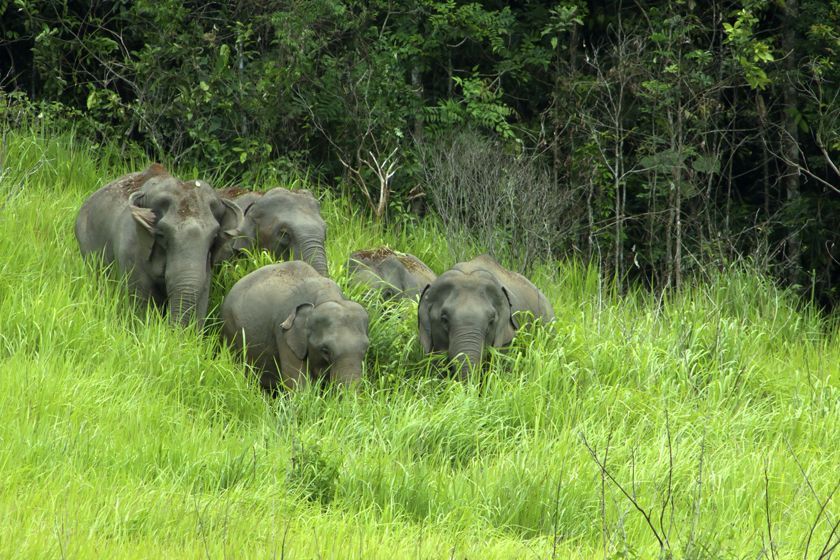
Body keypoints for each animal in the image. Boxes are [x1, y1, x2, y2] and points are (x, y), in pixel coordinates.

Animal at [221, 261, 369, 391]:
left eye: (365, 348)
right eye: (325, 350)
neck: (326, 296)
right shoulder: (284, 332)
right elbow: (297, 384)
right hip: (230, 330)